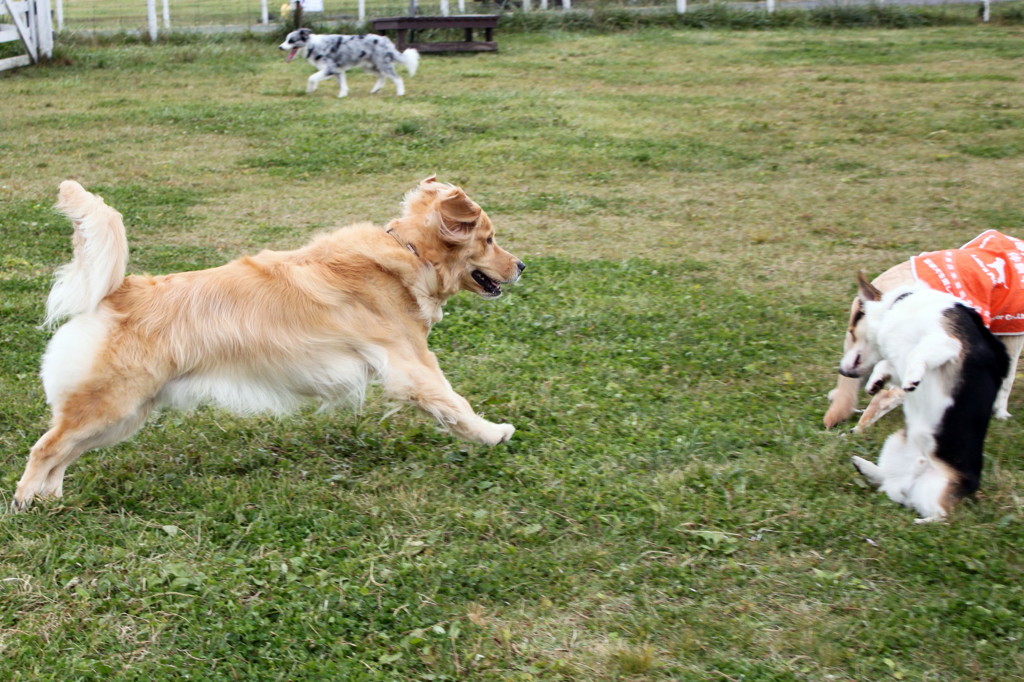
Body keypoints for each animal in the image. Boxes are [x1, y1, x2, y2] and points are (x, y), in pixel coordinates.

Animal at [278, 28, 417, 97]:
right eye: (285, 39)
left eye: (291, 41)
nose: (280, 47)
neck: (312, 45)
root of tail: (385, 39)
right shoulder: (338, 71)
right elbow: (342, 85)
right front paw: (342, 95)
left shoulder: (330, 68)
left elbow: (311, 78)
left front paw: (311, 89)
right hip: (369, 66)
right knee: (382, 77)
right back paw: (375, 90)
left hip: (382, 64)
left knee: (397, 78)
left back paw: (400, 93)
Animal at [839, 274, 1007, 518]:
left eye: (851, 332)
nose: (841, 371)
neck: (899, 303)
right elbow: (886, 365)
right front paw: (876, 382)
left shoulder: (946, 341)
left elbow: (918, 354)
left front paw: (912, 378)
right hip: (894, 444)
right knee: (890, 481)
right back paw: (863, 465)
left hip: (936, 490)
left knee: (940, 515)